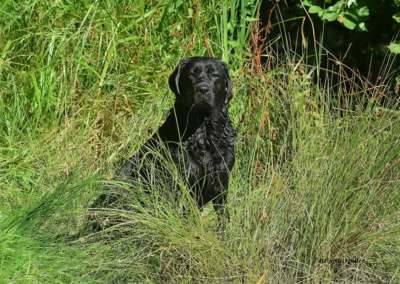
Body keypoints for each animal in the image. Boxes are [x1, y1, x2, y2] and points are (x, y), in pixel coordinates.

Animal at [91, 57, 234, 226]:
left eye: (214, 74)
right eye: (191, 75)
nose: (202, 89)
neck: (203, 132)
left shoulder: (221, 180)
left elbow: (223, 216)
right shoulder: (182, 181)